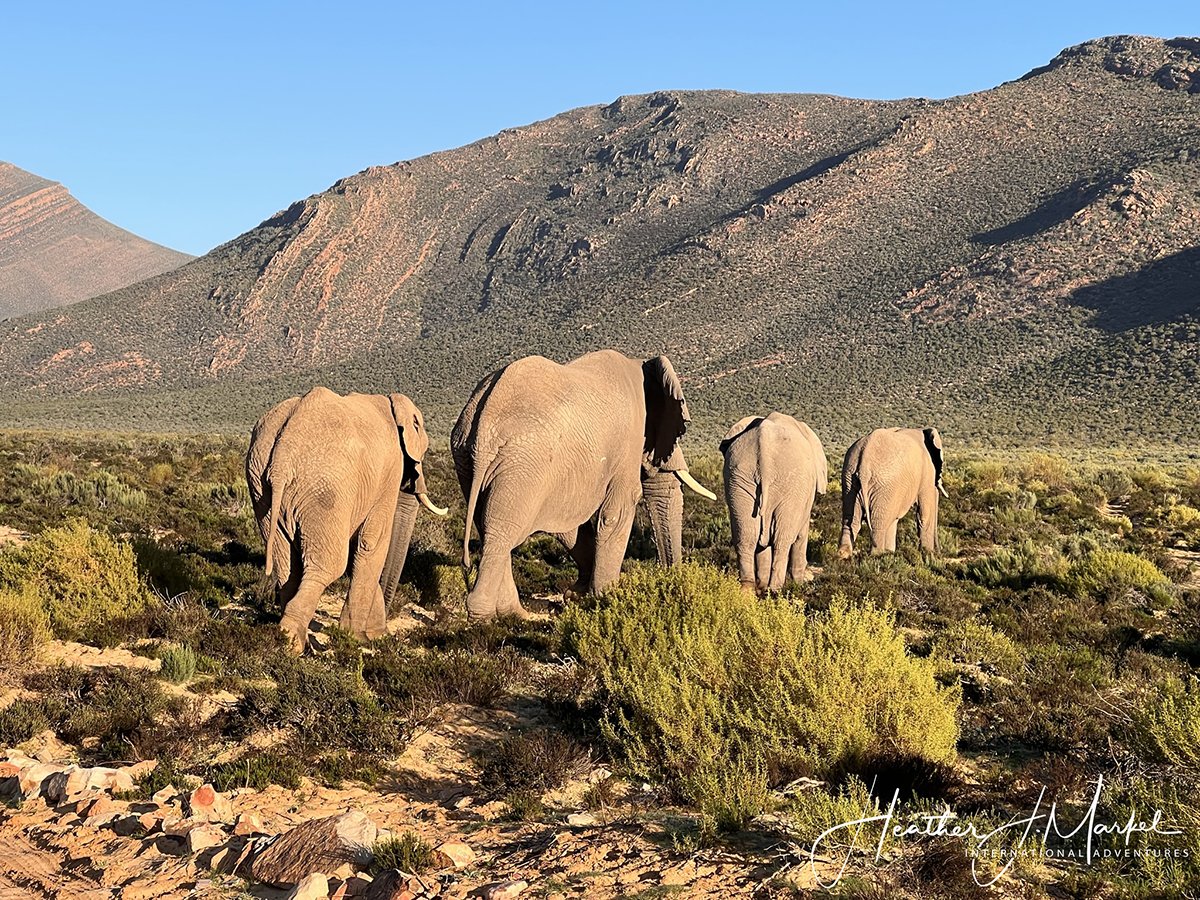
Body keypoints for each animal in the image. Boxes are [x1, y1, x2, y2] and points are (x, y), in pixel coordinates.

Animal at [246, 386, 448, 652]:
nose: (385, 632)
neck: (391, 403)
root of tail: (282, 457)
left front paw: (370, 635)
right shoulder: (389, 472)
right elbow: (371, 542)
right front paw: (358, 638)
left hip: (262, 489)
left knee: (286, 564)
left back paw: (295, 640)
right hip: (325, 489)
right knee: (328, 565)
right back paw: (292, 644)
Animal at [450, 349, 717, 620]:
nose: (672, 582)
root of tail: (485, 425)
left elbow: (568, 525)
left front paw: (577, 597)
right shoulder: (628, 444)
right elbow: (615, 515)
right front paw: (607, 600)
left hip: (469, 457)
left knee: (487, 524)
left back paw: (512, 613)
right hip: (523, 461)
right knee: (503, 529)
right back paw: (487, 616)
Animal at [719, 412, 827, 591]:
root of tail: (764, 457)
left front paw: (762, 585)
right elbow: (801, 535)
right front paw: (798, 583)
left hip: (738, 477)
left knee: (746, 536)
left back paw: (748, 590)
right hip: (792, 484)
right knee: (782, 540)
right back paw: (775, 589)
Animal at [838, 427, 947, 557]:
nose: (939, 553)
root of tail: (864, 462)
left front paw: (890, 552)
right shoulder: (927, 473)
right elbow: (924, 515)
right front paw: (928, 554)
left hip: (850, 478)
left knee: (850, 521)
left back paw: (842, 555)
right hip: (883, 484)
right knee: (878, 524)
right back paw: (877, 555)